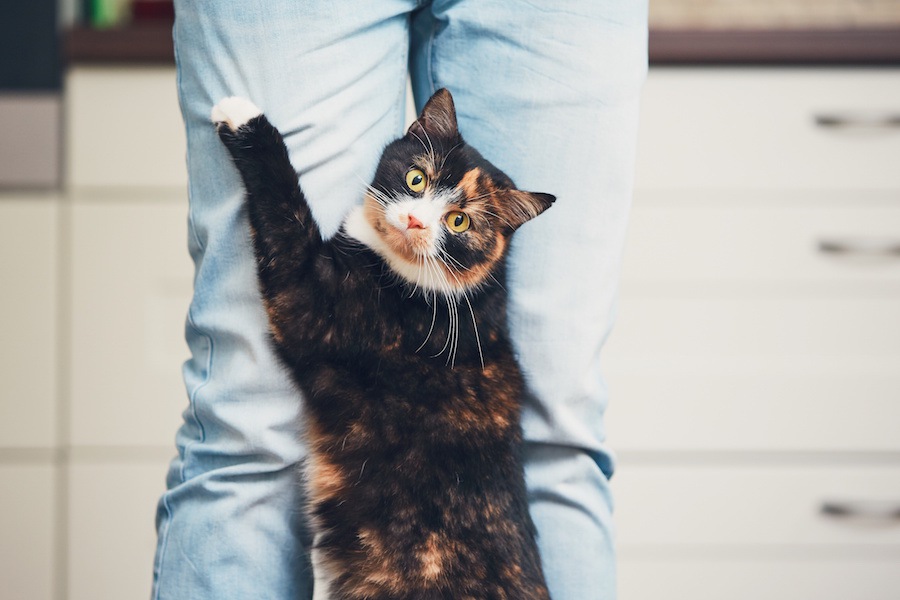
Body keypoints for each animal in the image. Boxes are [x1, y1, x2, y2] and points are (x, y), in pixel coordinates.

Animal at [214, 89, 552, 600]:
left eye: (459, 221)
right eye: (416, 178)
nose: (415, 219)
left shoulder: (312, 305)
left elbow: (286, 209)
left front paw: (244, 119)